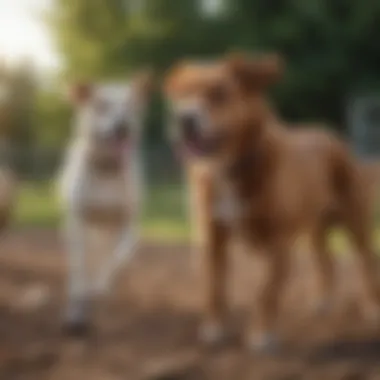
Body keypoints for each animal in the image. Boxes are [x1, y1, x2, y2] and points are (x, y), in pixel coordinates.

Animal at [58, 72, 152, 336]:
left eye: (129, 105)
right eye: (102, 105)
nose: (123, 126)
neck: (107, 169)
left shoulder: (129, 224)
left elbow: (119, 259)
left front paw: (100, 287)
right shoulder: (78, 222)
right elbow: (79, 268)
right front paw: (77, 309)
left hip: (109, 229)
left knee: (110, 254)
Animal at [164, 52, 380, 352]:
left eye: (219, 93)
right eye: (182, 94)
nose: (185, 118)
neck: (230, 167)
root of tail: (330, 135)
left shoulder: (278, 245)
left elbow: (266, 292)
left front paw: (261, 334)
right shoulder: (212, 239)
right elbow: (214, 288)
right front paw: (214, 328)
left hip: (356, 222)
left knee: (367, 263)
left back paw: (372, 306)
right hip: (314, 230)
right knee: (326, 261)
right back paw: (323, 300)